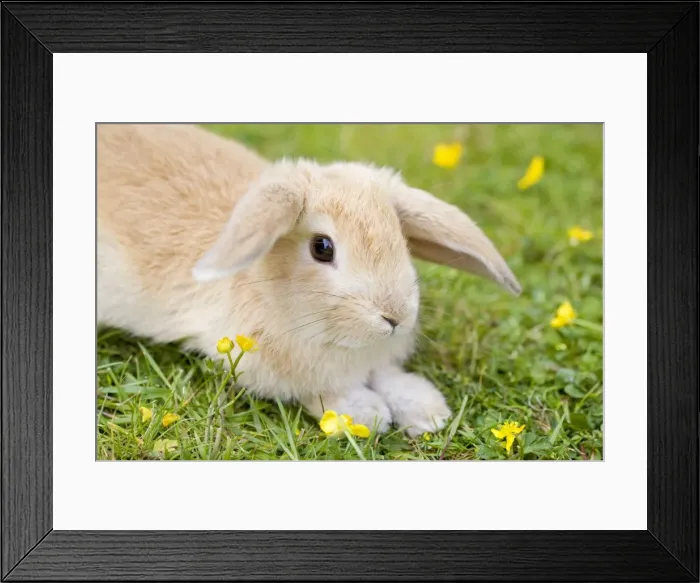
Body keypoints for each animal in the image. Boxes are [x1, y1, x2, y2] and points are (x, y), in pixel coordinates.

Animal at [97, 124, 521, 437]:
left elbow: (388, 375)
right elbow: (327, 392)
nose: (395, 317)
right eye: (322, 247)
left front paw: (428, 412)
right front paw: (368, 415)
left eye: (400, 238)